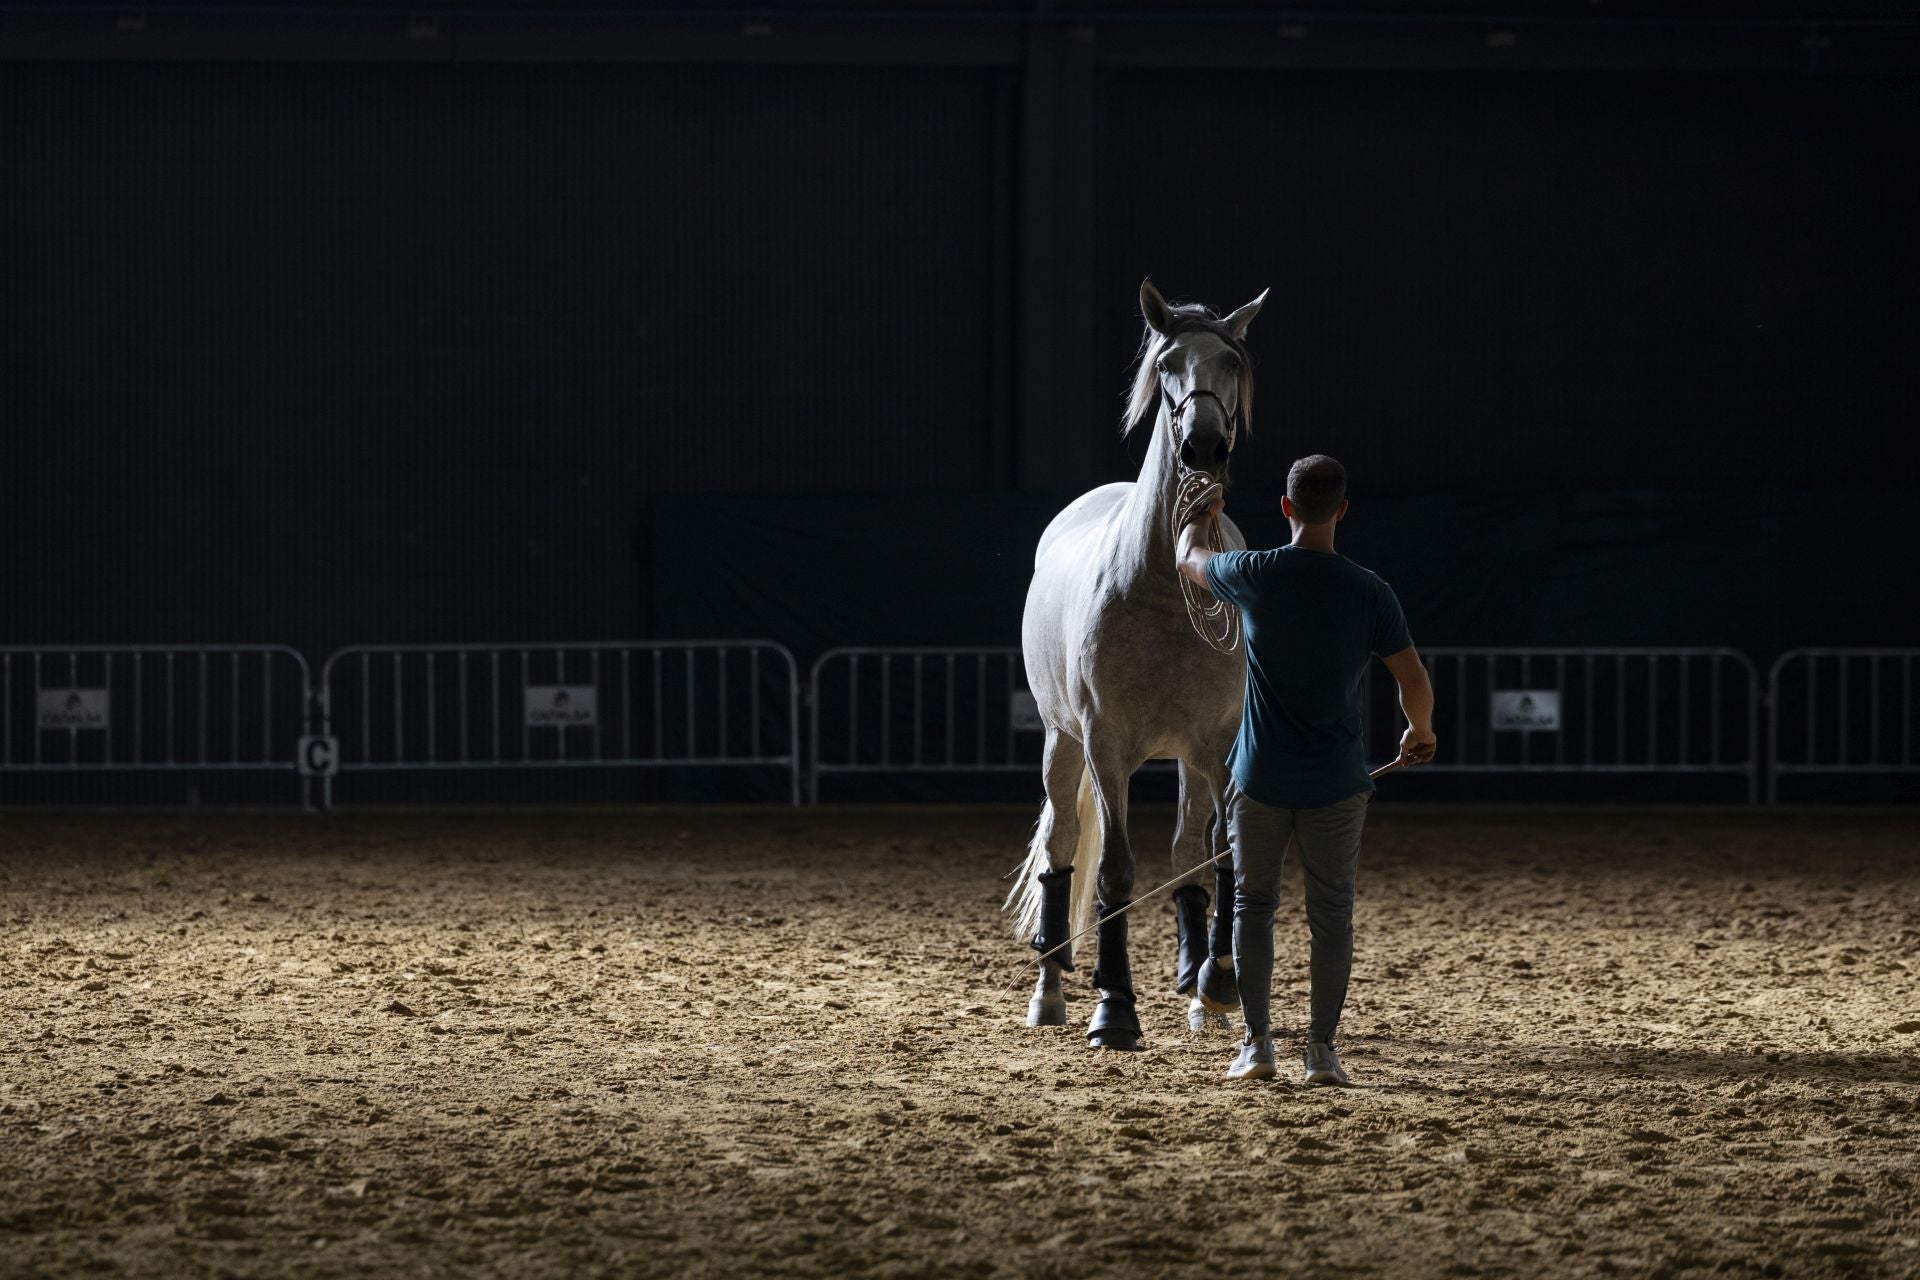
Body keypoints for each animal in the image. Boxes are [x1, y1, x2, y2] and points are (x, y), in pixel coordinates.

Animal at [1007, 278, 1267, 1050]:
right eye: (1167, 364)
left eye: (1231, 362)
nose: (1204, 444)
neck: (1162, 590)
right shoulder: (1106, 745)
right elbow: (1114, 872)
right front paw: (1114, 1009)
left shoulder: (1217, 746)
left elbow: (1220, 855)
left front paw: (1218, 982)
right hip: (1062, 746)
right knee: (1062, 851)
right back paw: (1051, 991)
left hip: (1186, 759)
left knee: (1186, 851)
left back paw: (1196, 985)